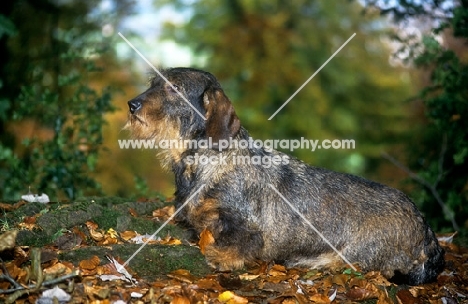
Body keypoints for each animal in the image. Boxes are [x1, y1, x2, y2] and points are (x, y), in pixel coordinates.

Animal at [125, 66, 446, 284]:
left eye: (173, 88)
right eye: (153, 83)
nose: (132, 104)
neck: (202, 161)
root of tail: (425, 227)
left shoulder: (248, 226)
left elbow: (242, 240)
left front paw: (222, 255)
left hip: (362, 250)